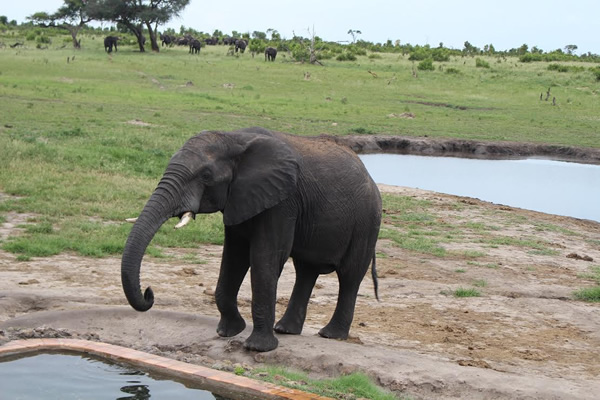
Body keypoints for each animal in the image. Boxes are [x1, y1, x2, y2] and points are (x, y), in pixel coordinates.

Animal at [122, 126, 382, 352]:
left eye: (206, 176)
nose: (149, 292)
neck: (234, 138)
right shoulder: (240, 198)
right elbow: (234, 258)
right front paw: (228, 332)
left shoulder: (283, 201)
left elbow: (266, 257)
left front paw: (257, 348)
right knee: (306, 271)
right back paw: (285, 330)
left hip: (367, 222)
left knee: (349, 276)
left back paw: (330, 335)